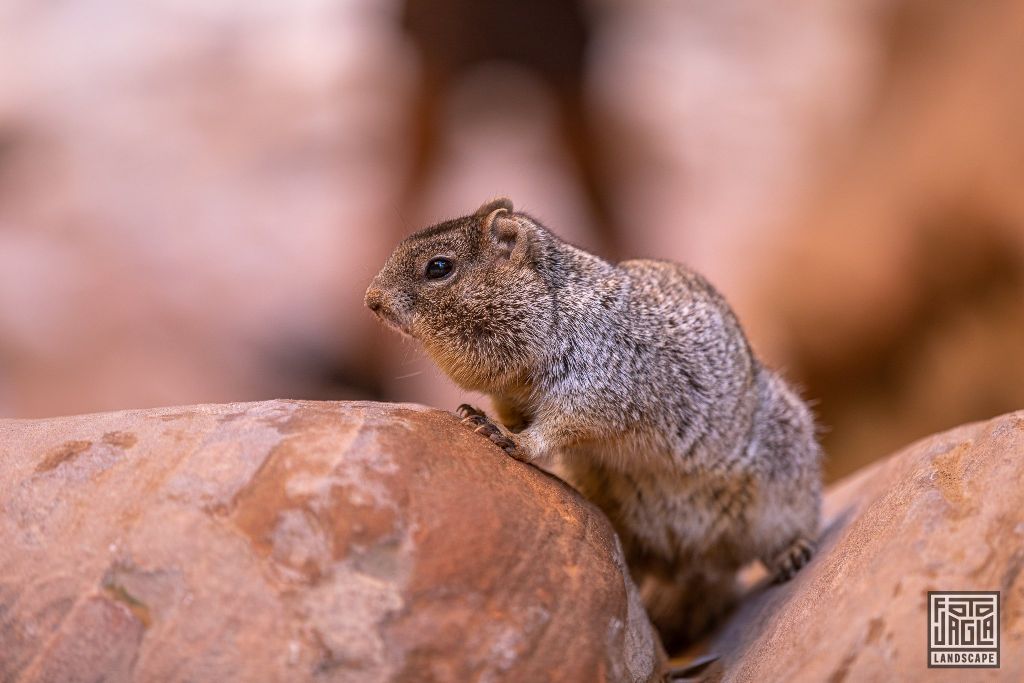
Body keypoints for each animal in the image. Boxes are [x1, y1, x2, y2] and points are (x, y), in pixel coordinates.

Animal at [365, 198, 822, 650]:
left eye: (439, 267)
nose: (370, 299)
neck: (554, 311)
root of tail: (693, 561)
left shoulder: (597, 379)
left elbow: (561, 424)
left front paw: (509, 439)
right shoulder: (512, 395)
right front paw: (477, 415)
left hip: (784, 480)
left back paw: (792, 552)